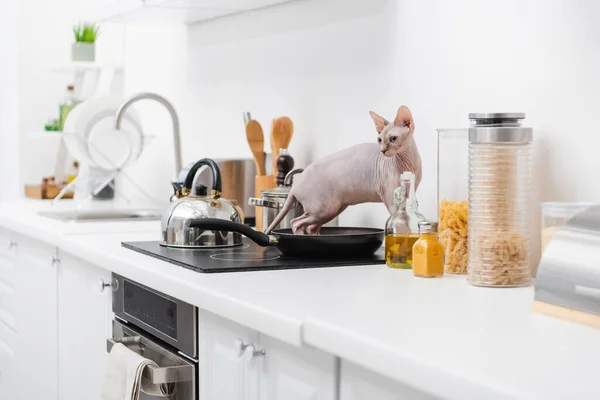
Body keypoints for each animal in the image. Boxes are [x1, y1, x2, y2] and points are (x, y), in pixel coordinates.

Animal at [268, 106, 422, 236]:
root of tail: (295, 186)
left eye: (393, 138)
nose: (382, 151)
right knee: (296, 223)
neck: (407, 163)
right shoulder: (391, 197)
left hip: (333, 209)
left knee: (311, 227)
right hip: (323, 209)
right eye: (379, 140)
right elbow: (401, 222)